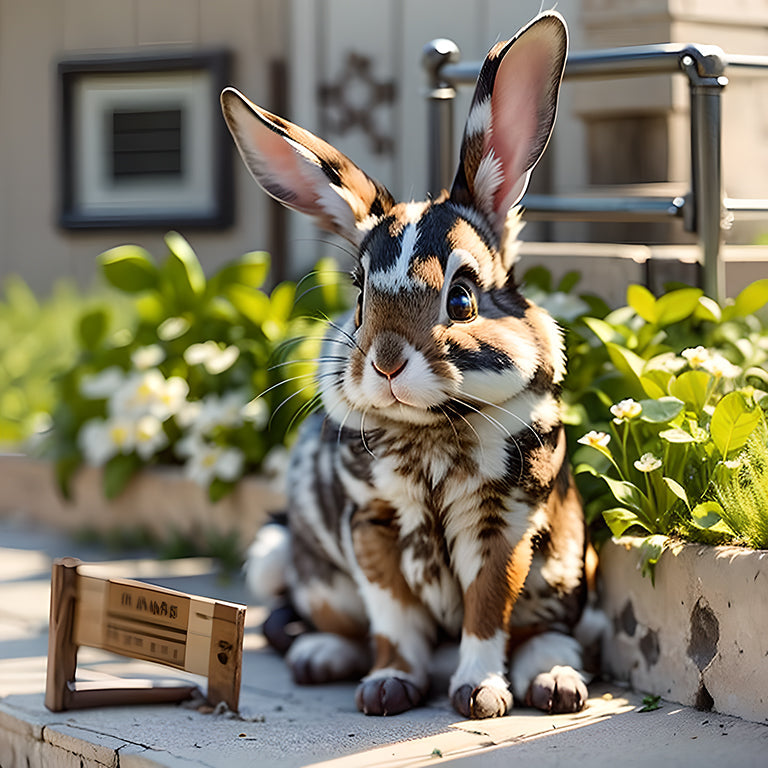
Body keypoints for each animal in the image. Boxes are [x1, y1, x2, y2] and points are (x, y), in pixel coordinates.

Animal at [221, 11, 593, 719]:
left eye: (463, 296)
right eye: (360, 295)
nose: (388, 363)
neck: (430, 433)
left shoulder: (503, 525)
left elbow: (486, 612)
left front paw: (479, 694)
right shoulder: (371, 526)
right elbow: (393, 617)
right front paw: (388, 686)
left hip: (564, 567)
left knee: (551, 632)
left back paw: (558, 684)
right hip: (289, 559)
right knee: (318, 618)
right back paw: (321, 658)